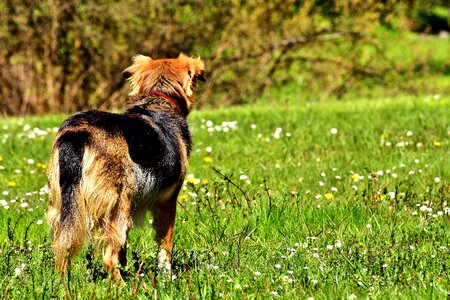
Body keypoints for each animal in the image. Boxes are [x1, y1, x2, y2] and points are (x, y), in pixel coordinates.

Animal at [46, 53, 205, 282]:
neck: (158, 100)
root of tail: (78, 133)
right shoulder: (167, 201)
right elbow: (165, 245)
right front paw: (166, 276)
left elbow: (124, 249)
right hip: (118, 204)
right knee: (108, 258)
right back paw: (123, 285)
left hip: (63, 205)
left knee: (62, 249)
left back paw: (62, 283)